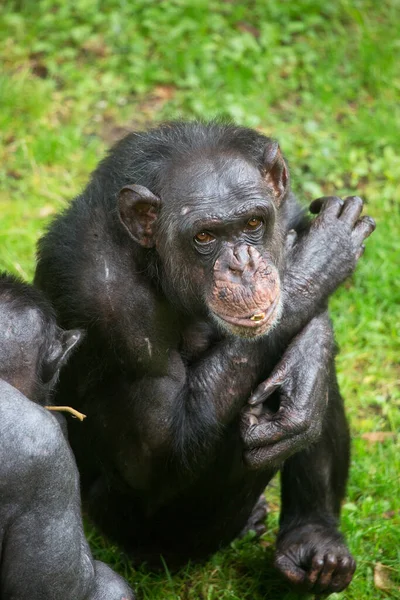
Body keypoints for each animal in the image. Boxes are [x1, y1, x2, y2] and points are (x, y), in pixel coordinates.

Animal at [34, 122, 376, 596]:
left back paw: (315, 541)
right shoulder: (106, 300)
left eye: (253, 223)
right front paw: (320, 257)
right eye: (204, 237)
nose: (243, 265)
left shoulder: (286, 209)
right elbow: (161, 449)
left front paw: (305, 371)